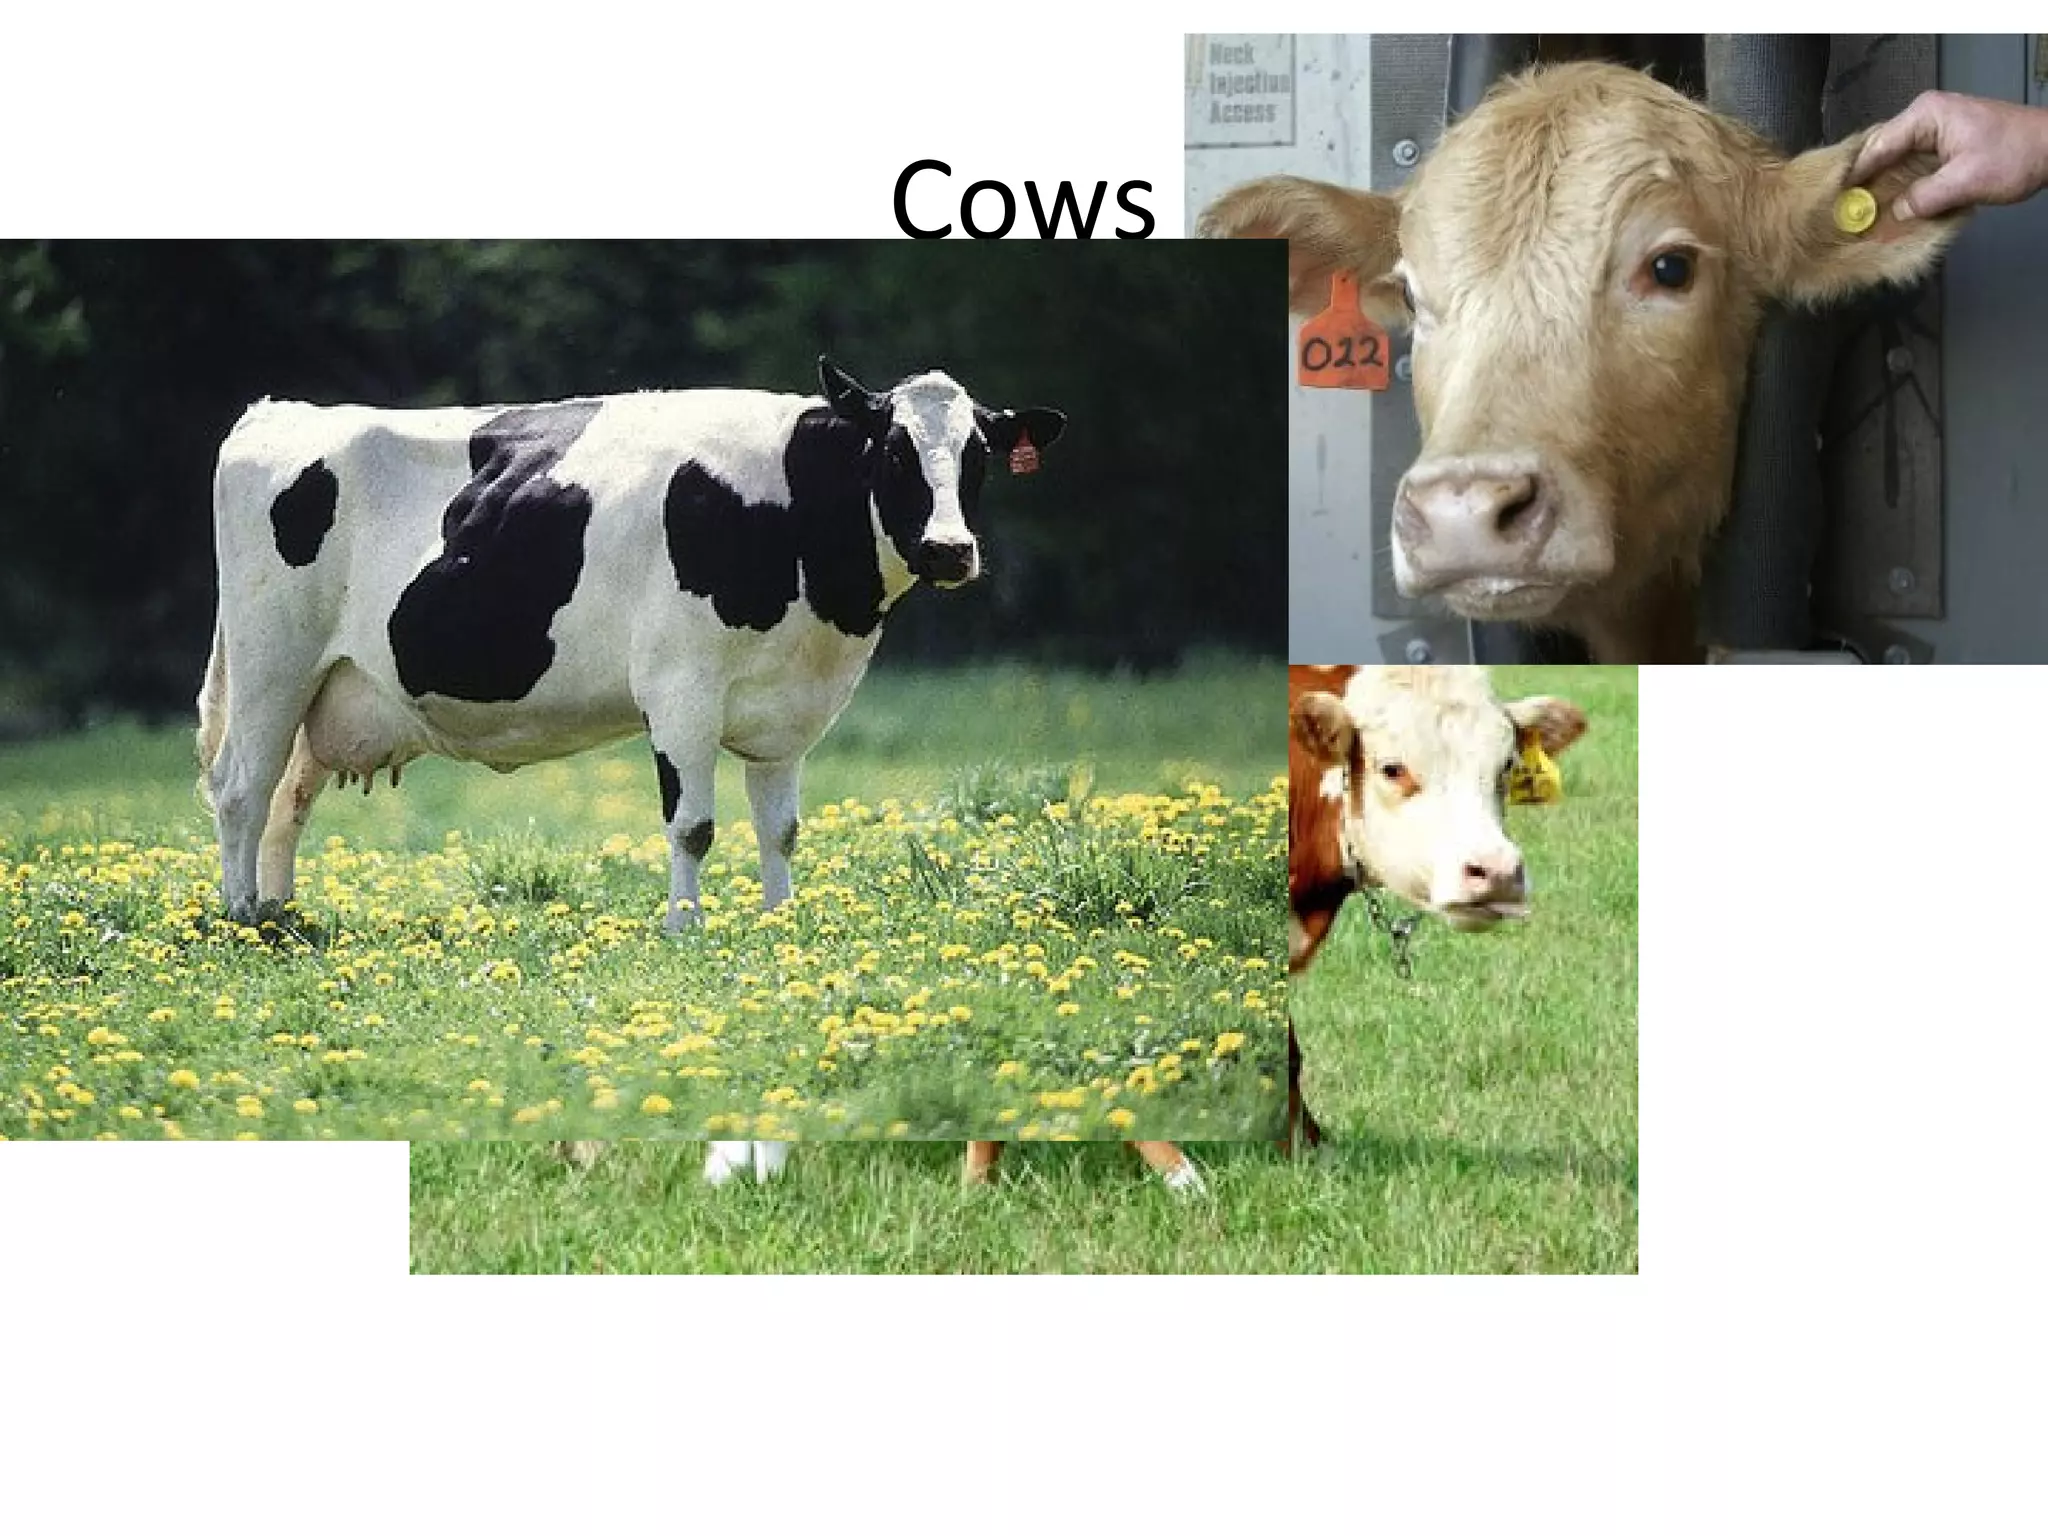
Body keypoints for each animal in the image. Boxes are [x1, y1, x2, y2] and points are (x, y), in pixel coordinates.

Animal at [196, 356, 1064, 1185]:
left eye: (979, 455)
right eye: (893, 450)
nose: (950, 551)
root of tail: (275, 413)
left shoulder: (784, 716)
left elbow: (780, 831)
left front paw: (781, 924)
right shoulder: (681, 689)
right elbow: (695, 827)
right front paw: (685, 928)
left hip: (325, 693)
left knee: (288, 803)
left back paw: (283, 915)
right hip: (272, 662)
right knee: (242, 792)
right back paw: (242, 919)